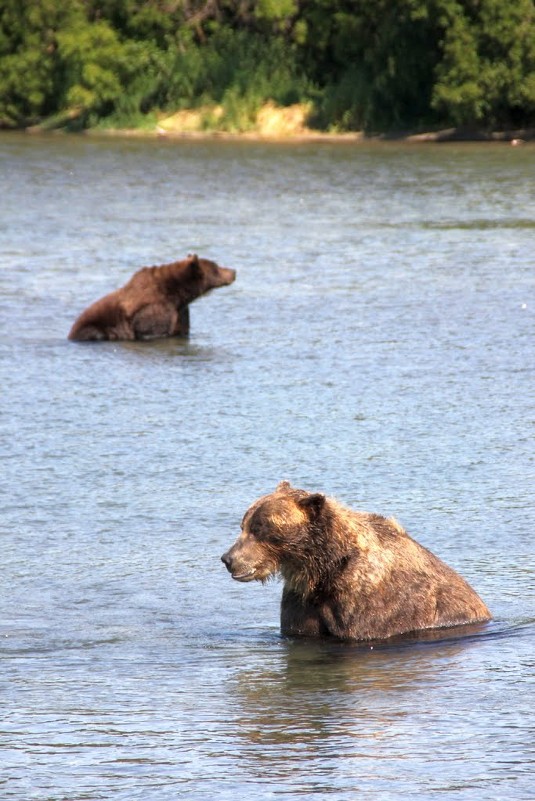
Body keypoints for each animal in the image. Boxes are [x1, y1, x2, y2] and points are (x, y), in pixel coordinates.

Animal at [68, 253, 236, 340]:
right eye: (216, 267)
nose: (233, 271)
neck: (176, 293)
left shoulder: (180, 310)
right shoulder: (155, 308)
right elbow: (151, 329)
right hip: (92, 327)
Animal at [220, 482, 492, 644]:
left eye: (259, 528)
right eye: (243, 525)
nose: (228, 559)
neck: (322, 569)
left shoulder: (371, 605)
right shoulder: (303, 603)